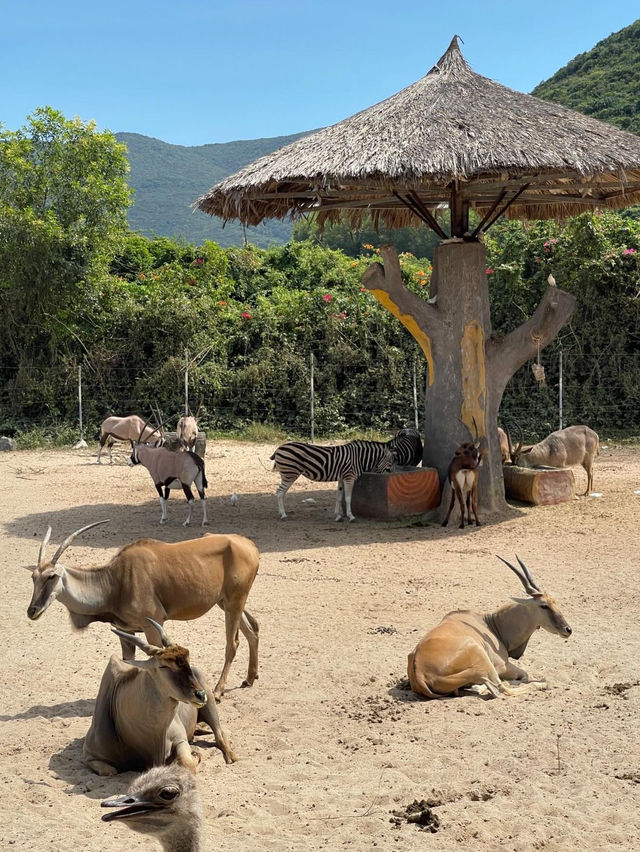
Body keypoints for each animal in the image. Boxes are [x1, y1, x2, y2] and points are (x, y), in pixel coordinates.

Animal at [25, 520, 260, 700]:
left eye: (51, 576)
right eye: (34, 577)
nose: (32, 610)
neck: (115, 581)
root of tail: (249, 544)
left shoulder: (153, 625)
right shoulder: (126, 631)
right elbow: (126, 663)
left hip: (234, 602)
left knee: (233, 643)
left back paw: (219, 690)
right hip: (227, 603)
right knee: (253, 631)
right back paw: (249, 678)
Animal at [84, 616, 236, 776]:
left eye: (187, 660)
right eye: (164, 666)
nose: (200, 695)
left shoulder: (181, 740)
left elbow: (187, 763)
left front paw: (194, 755)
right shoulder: (90, 756)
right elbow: (110, 771)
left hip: (210, 705)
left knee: (220, 736)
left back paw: (230, 756)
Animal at [268, 442, 396, 524]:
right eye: (390, 463)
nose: (391, 475)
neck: (358, 458)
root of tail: (279, 448)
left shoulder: (341, 478)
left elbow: (339, 497)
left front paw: (338, 516)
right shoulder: (349, 477)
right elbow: (348, 498)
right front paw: (351, 516)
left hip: (287, 474)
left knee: (280, 493)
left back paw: (281, 513)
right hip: (289, 474)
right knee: (280, 492)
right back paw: (283, 515)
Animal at [410, 556, 576, 704]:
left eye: (554, 601)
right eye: (544, 605)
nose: (568, 629)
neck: (492, 624)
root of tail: (420, 674)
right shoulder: (502, 666)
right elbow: (525, 675)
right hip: (481, 657)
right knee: (502, 689)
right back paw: (541, 684)